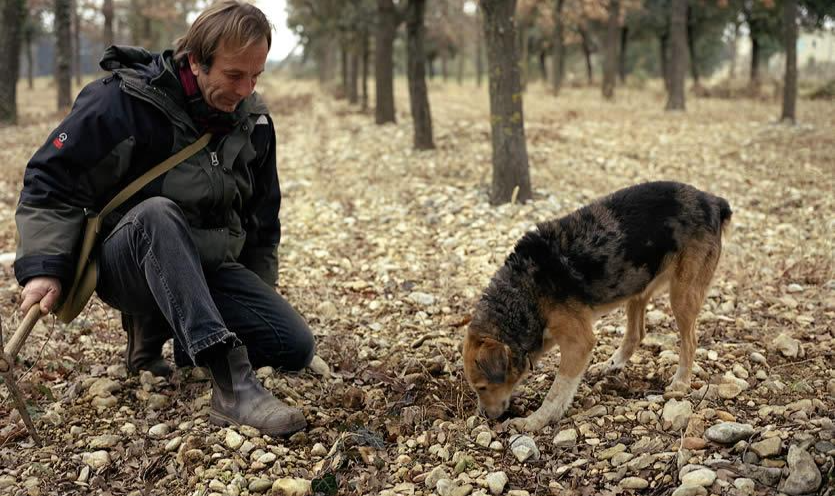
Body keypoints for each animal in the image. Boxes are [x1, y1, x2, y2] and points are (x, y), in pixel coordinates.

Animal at [464, 181, 732, 430]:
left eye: (482, 387)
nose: (484, 417)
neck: (522, 292)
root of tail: (713, 201)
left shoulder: (578, 343)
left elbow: (557, 391)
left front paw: (535, 421)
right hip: (637, 284)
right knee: (636, 334)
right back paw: (611, 365)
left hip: (682, 295)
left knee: (690, 341)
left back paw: (680, 382)